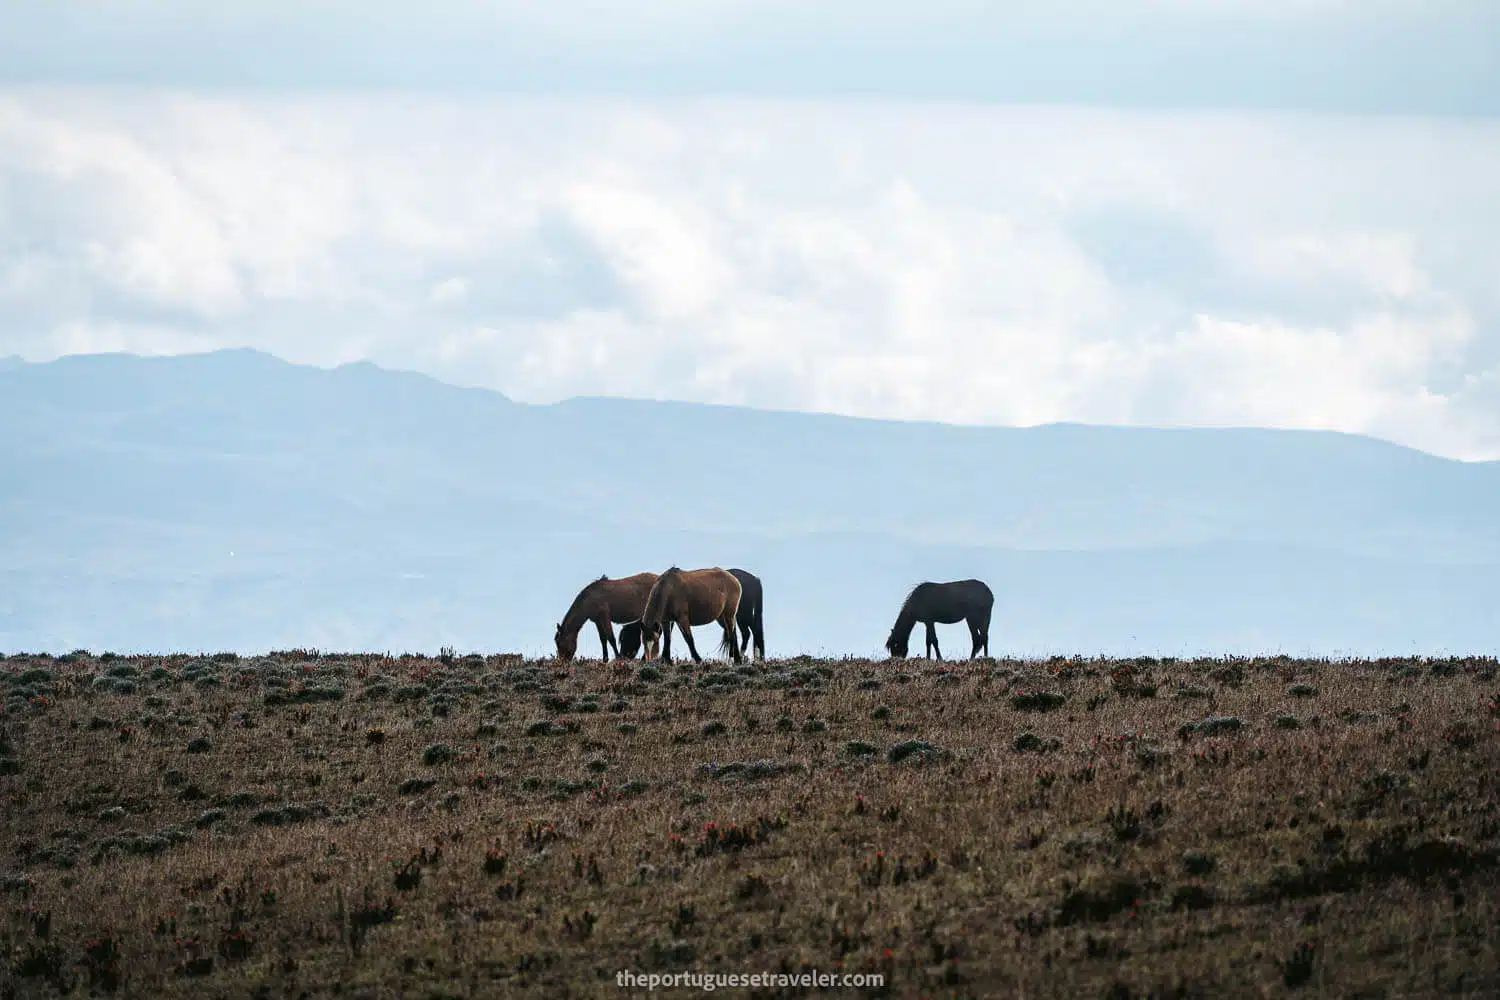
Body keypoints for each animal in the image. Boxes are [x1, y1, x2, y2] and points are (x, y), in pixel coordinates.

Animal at [615, 569, 768, 665]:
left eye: (627, 638)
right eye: (643, 641)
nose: (623, 658)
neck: (669, 589)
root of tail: (735, 579)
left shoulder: (682, 619)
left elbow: (689, 639)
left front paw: (698, 659)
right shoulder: (666, 621)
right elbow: (668, 639)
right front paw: (666, 660)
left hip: (732, 614)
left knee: (737, 634)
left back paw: (736, 659)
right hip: (726, 616)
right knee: (737, 634)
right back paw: (736, 659)